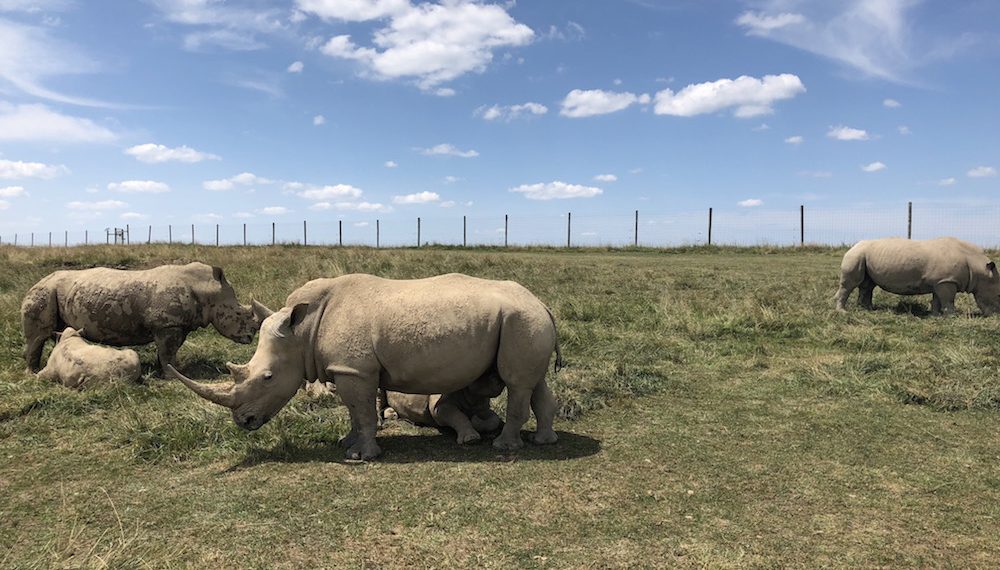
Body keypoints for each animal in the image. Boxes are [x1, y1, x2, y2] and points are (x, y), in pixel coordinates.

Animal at [23, 262, 266, 372]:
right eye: (239, 313)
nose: (250, 337)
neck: (207, 289)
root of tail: (38, 281)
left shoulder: (176, 325)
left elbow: (168, 351)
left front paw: (166, 370)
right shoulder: (167, 324)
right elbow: (168, 350)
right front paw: (172, 376)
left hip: (58, 290)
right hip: (44, 291)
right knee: (38, 336)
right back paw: (33, 372)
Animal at [171, 272, 564, 462]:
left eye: (267, 378)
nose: (244, 422)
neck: (302, 332)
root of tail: (542, 303)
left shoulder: (354, 370)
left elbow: (362, 411)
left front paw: (361, 456)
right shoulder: (347, 369)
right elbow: (352, 411)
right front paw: (346, 442)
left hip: (520, 320)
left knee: (517, 383)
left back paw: (504, 448)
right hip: (524, 320)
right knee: (535, 382)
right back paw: (543, 441)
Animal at [832, 235, 1000, 316]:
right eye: (998, 296)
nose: (995, 315)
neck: (977, 266)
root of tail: (853, 246)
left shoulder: (939, 281)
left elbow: (937, 299)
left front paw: (935, 315)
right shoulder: (946, 281)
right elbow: (948, 300)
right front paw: (952, 316)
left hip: (864, 255)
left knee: (868, 285)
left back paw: (868, 309)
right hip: (856, 255)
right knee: (850, 284)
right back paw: (843, 312)